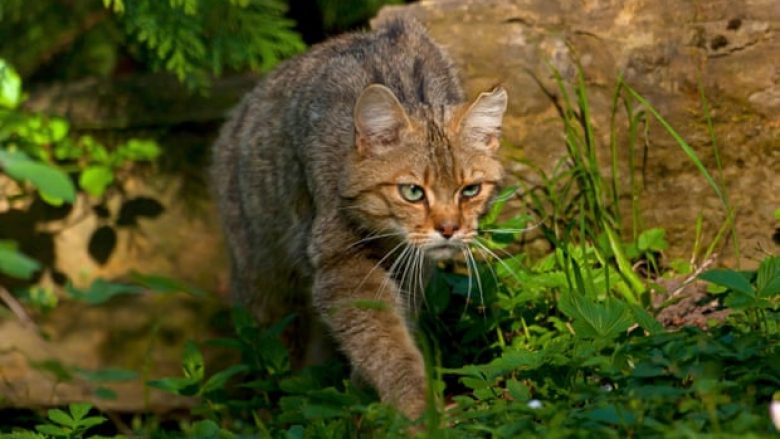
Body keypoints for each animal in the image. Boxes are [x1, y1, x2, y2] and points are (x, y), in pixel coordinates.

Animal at [210, 18, 508, 420]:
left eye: (470, 190)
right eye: (412, 192)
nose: (449, 229)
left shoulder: (410, 269)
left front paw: (365, 396)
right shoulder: (342, 265)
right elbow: (385, 343)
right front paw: (416, 407)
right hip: (264, 288)